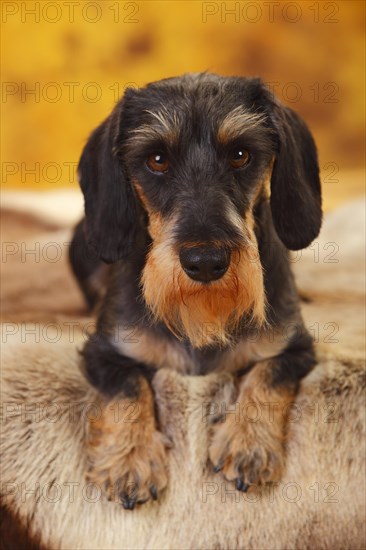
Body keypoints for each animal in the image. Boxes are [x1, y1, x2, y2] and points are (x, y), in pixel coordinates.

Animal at [69, 71, 324, 512]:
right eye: (156, 160)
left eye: (240, 154)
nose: (205, 262)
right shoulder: (103, 350)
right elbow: (127, 387)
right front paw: (130, 458)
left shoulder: (296, 348)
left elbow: (268, 375)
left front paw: (249, 442)